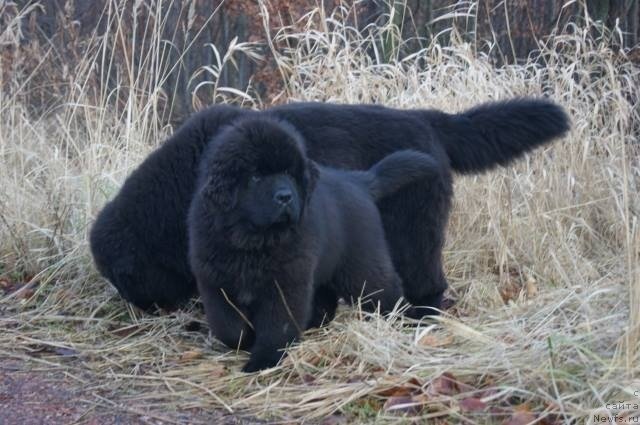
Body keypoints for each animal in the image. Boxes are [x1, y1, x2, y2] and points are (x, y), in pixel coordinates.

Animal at [189, 117, 440, 372]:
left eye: (289, 173)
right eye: (255, 177)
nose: (285, 197)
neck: (254, 240)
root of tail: (359, 181)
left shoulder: (286, 283)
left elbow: (277, 326)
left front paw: (264, 360)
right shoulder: (215, 283)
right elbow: (228, 327)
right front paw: (247, 339)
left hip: (361, 266)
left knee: (384, 289)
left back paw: (406, 319)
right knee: (326, 300)